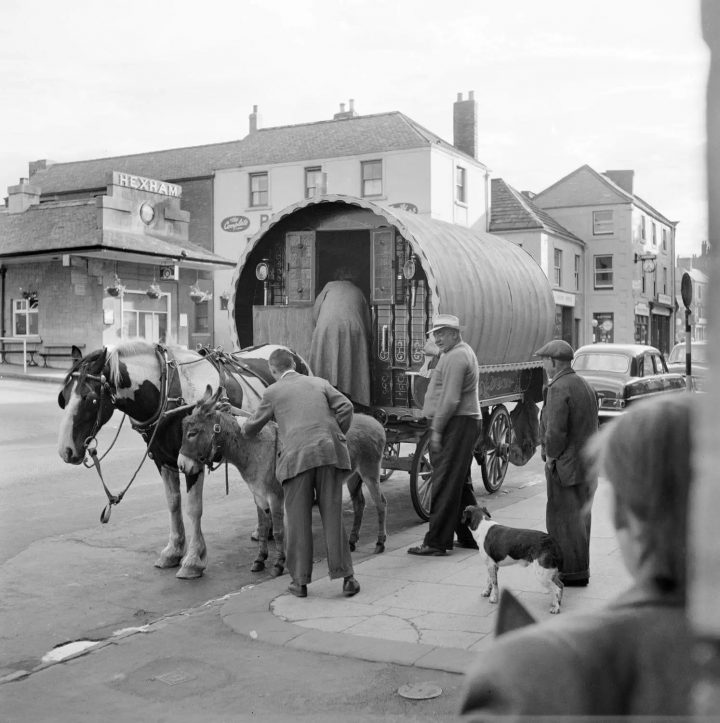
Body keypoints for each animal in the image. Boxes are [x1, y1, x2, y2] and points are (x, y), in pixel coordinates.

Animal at [57, 336, 310, 580]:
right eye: (63, 397)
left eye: (90, 398)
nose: (65, 451)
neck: (168, 391)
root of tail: (290, 352)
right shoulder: (163, 460)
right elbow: (173, 503)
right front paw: (173, 550)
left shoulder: (194, 460)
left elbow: (193, 509)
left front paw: (194, 560)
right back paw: (265, 530)